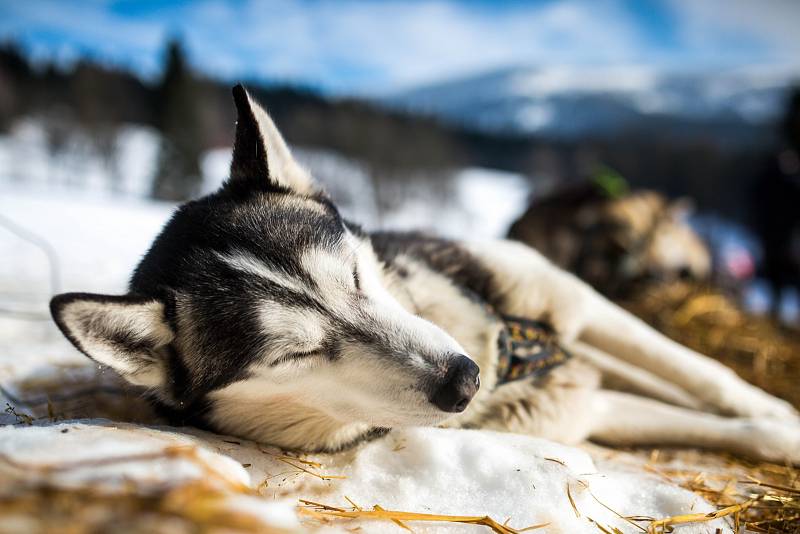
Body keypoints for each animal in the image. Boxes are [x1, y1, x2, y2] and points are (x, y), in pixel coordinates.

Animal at [50, 88, 800, 464]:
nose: (464, 380)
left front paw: (774, 412)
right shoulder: (580, 409)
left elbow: (713, 379)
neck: (507, 358)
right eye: (295, 354)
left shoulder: (577, 304)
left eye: (356, 274)